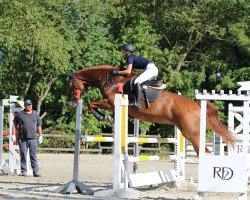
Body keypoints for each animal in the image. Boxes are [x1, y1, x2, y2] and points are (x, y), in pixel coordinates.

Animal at [67, 65, 236, 155]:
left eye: (70, 85)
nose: (71, 104)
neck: (111, 81)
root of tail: (197, 106)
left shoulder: (111, 102)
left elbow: (91, 105)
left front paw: (104, 117)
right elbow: (91, 105)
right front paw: (106, 118)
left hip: (192, 134)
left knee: (204, 152)